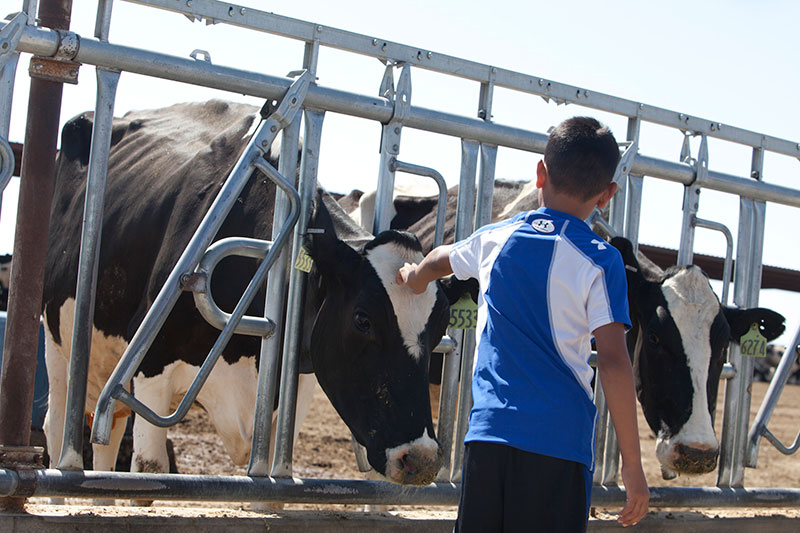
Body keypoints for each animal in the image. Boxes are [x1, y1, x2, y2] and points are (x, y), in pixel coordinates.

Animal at [42, 100, 468, 490]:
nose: (422, 459)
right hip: (58, 340)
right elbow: (148, 472)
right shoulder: (150, 364)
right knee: (60, 426)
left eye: (440, 328)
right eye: (362, 319)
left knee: (110, 434)